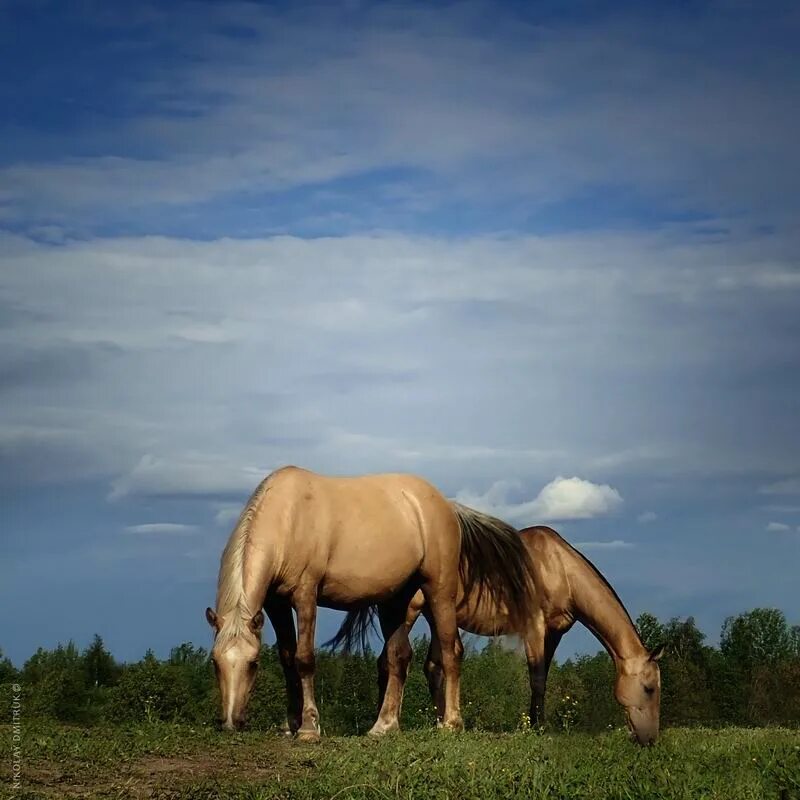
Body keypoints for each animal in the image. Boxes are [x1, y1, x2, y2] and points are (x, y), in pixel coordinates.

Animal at [205, 466, 536, 740]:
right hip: (396, 601)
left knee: (450, 651)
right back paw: (384, 726)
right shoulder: (276, 603)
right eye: (215, 662)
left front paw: (309, 728)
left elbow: (304, 659)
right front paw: (290, 724)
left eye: (253, 663)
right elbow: (287, 658)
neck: (288, 517)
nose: (231, 722)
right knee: (399, 656)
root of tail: (447, 506)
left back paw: (451, 723)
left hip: (438, 591)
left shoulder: (305, 595)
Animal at [334, 524, 664, 744]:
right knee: (392, 660)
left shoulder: (554, 633)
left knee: (428, 666)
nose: (649, 739)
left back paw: (431, 720)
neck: (558, 566)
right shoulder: (534, 626)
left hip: (434, 614)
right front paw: (536, 727)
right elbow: (537, 677)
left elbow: (543, 676)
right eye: (649, 688)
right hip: (411, 611)